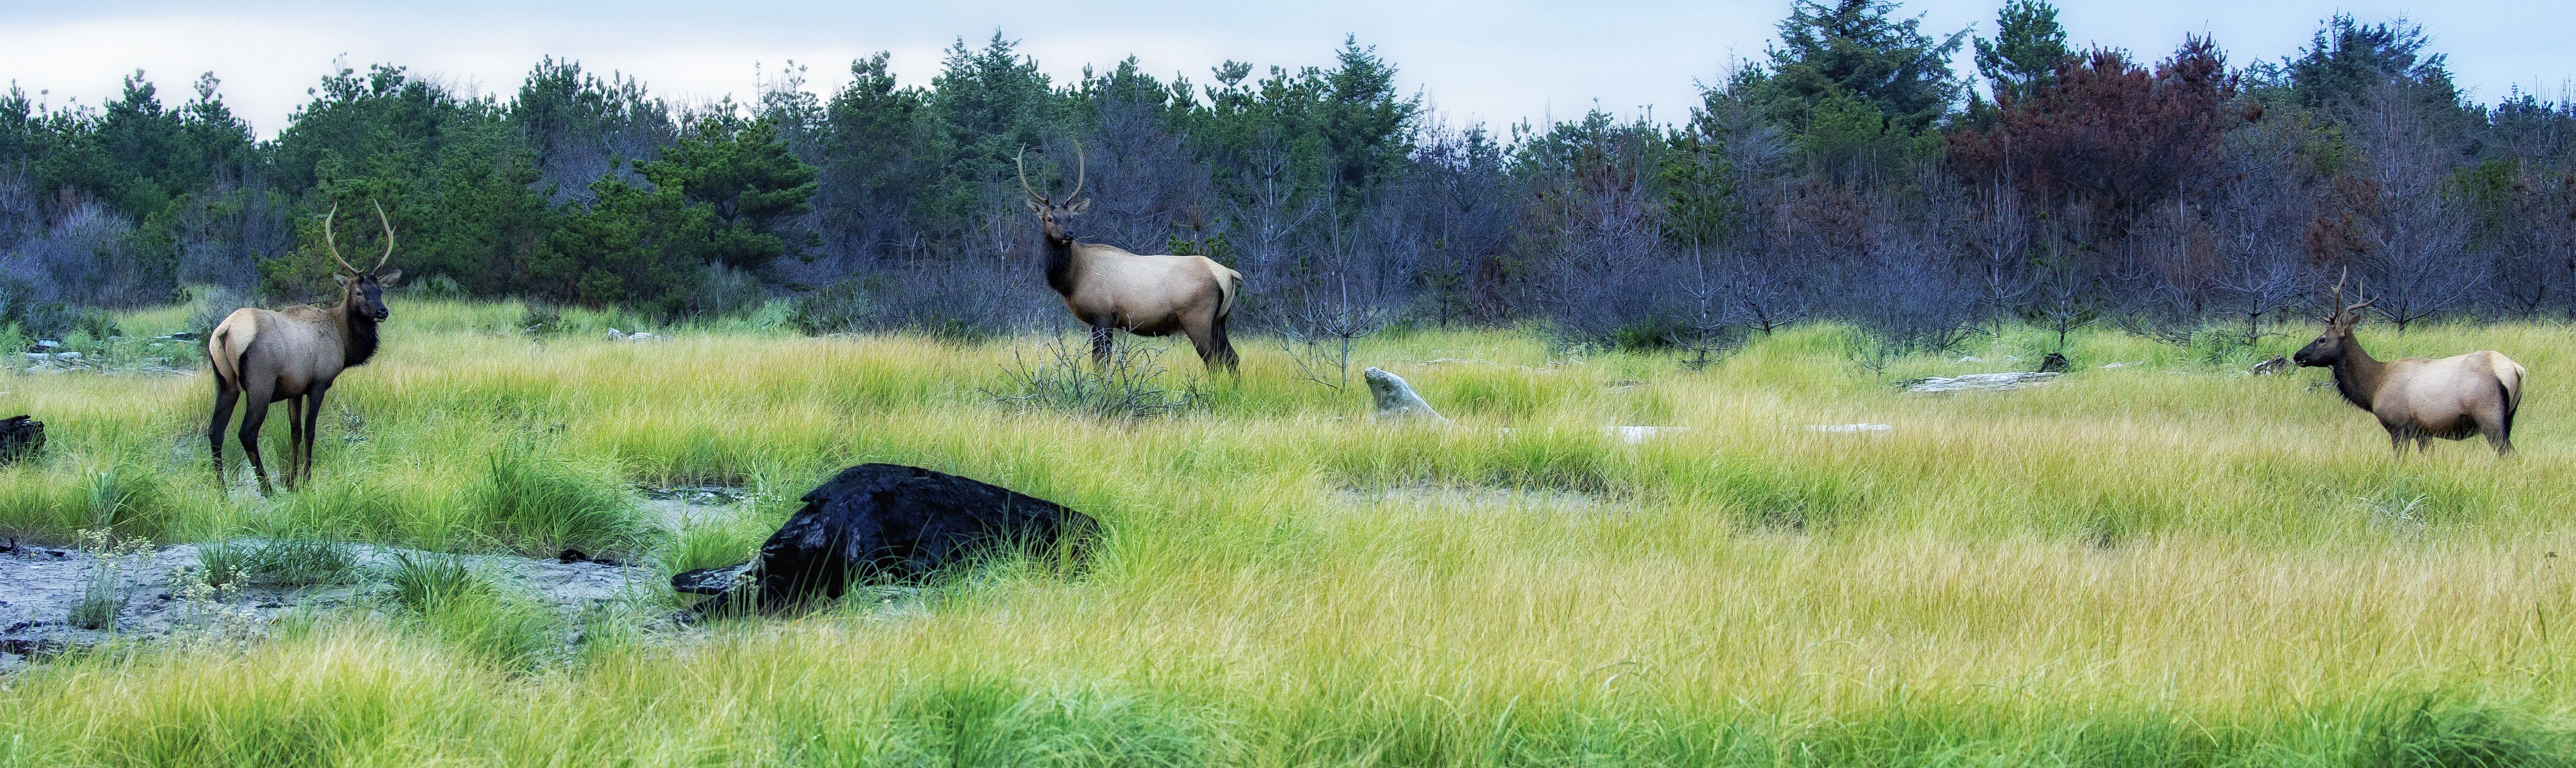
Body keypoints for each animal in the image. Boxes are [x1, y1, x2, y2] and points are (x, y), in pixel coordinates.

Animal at [206, 202, 399, 492]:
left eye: (381, 290)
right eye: (358, 292)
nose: (382, 311)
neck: (344, 342)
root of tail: (225, 332)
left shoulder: (294, 389)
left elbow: (294, 432)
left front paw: (291, 480)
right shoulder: (318, 383)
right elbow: (310, 431)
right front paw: (305, 478)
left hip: (225, 382)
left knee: (215, 430)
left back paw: (222, 489)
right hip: (260, 383)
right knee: (247, 433)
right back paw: (266, 488)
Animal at [1015, 145, 1236, 374]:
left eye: (1071, 218)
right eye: (1050, 218)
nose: (1070, 234)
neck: (1073, 279)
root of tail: (1228, 274)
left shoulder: (1102, 315)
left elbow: (1101, 362)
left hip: (1197, 318)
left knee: (1214, 360)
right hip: (1220, 320)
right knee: (1232, 358)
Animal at [2298, 273, 2514, 456]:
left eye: (2322, 339)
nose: (2297, 356)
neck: (2374, 388)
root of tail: (2515, 370)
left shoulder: (2398, 425)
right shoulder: (2423, 432)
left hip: (2489, 417)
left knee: (2507, 453)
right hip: (2508, 419)